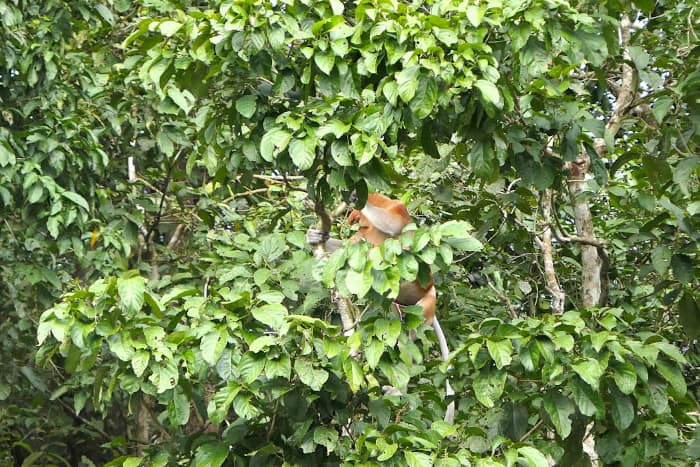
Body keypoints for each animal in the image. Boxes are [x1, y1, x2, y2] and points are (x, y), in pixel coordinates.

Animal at [308, 193, 456, 424]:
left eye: (359, 223)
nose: (356, 229)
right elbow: (346, 250)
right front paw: (315, 236)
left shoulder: (397, 210)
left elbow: (393, 225)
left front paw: (355, 198)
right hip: (397, 306)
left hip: (425, 306)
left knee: (408, 338)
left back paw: (397, 391)